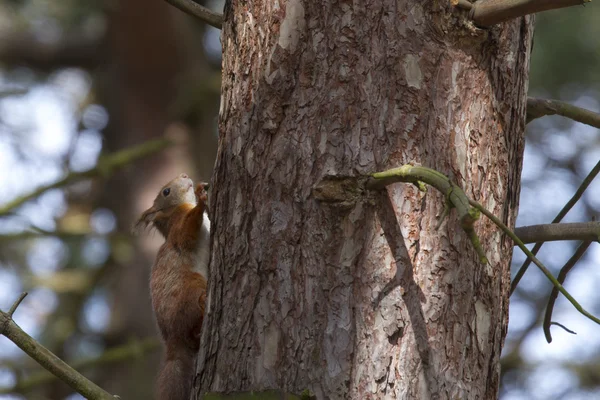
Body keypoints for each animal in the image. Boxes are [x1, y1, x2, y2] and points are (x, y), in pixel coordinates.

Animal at [135, 173, 210, 400]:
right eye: (166, 192)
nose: (185, 175)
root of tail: (173, 338)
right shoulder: (179, 228)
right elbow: (187, 232)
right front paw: (201, 200)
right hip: (191, 286)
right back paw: (204, 301)